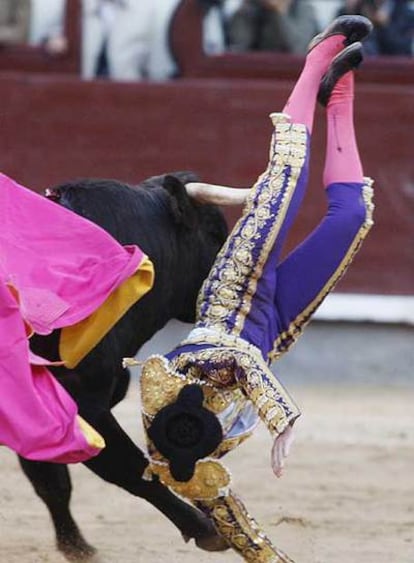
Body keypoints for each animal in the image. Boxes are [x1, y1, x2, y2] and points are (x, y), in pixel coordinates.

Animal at [20, 172, 230, 560]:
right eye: (214, 233)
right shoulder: (79, 402)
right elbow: (128, 467)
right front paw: (205, 529)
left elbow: (51, 480)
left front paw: (75, 546)